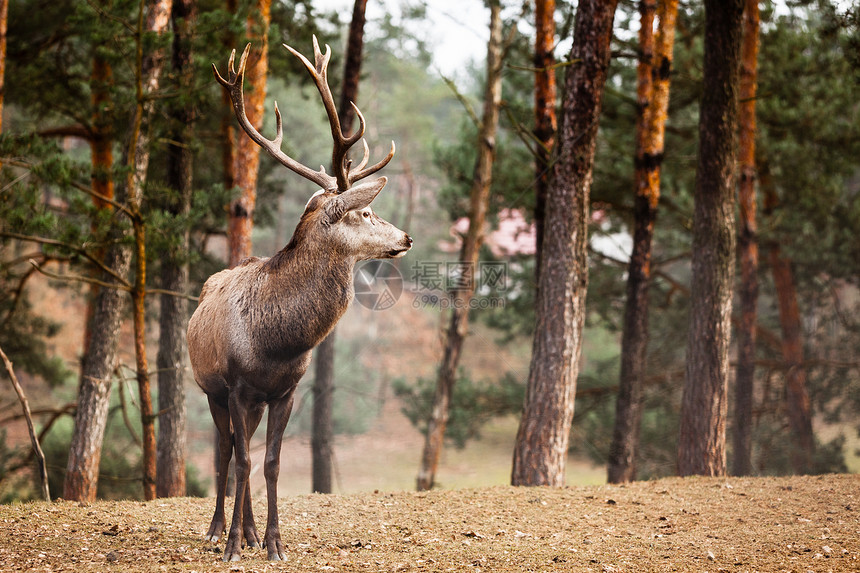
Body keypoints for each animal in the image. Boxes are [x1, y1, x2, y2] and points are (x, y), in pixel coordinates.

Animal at [187, 38, 414, 560]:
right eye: (365, 211)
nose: (406, 237)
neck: (276, 342)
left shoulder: (286, 390)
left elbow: (270, 462)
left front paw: (272, 542)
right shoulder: (235, 386)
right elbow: (242, 460)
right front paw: (232, 545)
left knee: (245, 450)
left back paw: (250, 531)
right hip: (211, 390)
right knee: (227, 449)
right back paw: (218, 529)